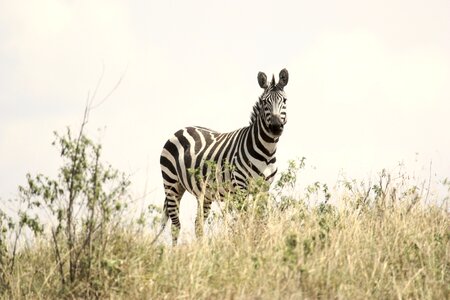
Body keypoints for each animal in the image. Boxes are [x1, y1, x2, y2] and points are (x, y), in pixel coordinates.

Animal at [156, 69, 288, 245]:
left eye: (285, 100)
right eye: (264, 101)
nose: (275, 127)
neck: (267, 151)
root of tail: (182, 129)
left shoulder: (264, 188)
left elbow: (261, 220)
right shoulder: (240, 186)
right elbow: (245, 220)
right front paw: (245, 244)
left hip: (202, 193)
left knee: (198, 225)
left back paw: (202, 249)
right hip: (171, 184)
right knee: (176, 225)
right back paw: (175, 252)